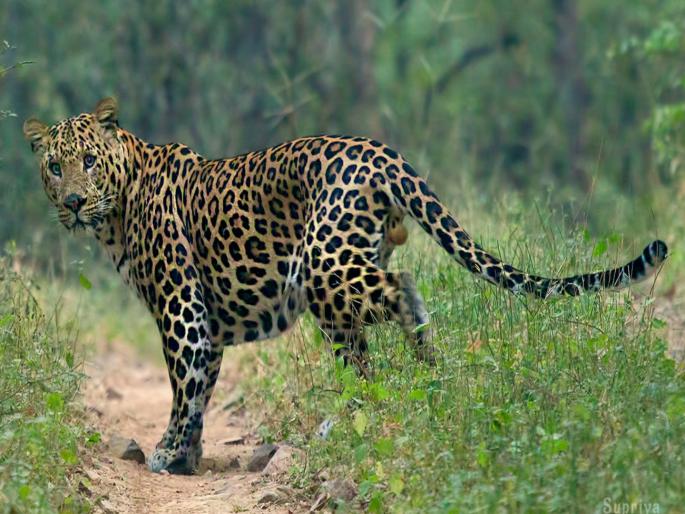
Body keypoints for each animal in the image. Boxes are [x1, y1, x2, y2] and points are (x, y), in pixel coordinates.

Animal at [23, 97, 667, 475]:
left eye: (87, 161)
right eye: (55, 166)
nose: (73, 202)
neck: (117, 208)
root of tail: (383, 152)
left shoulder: (181, 308)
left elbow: (184, 385)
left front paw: (164, 451)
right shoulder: (208, 320)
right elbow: (202, 386)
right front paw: (189, 456)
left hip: (323, 264)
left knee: (403, 292)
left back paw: (423, 376)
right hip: (339, 283)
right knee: (364, 355)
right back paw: (378, 407)